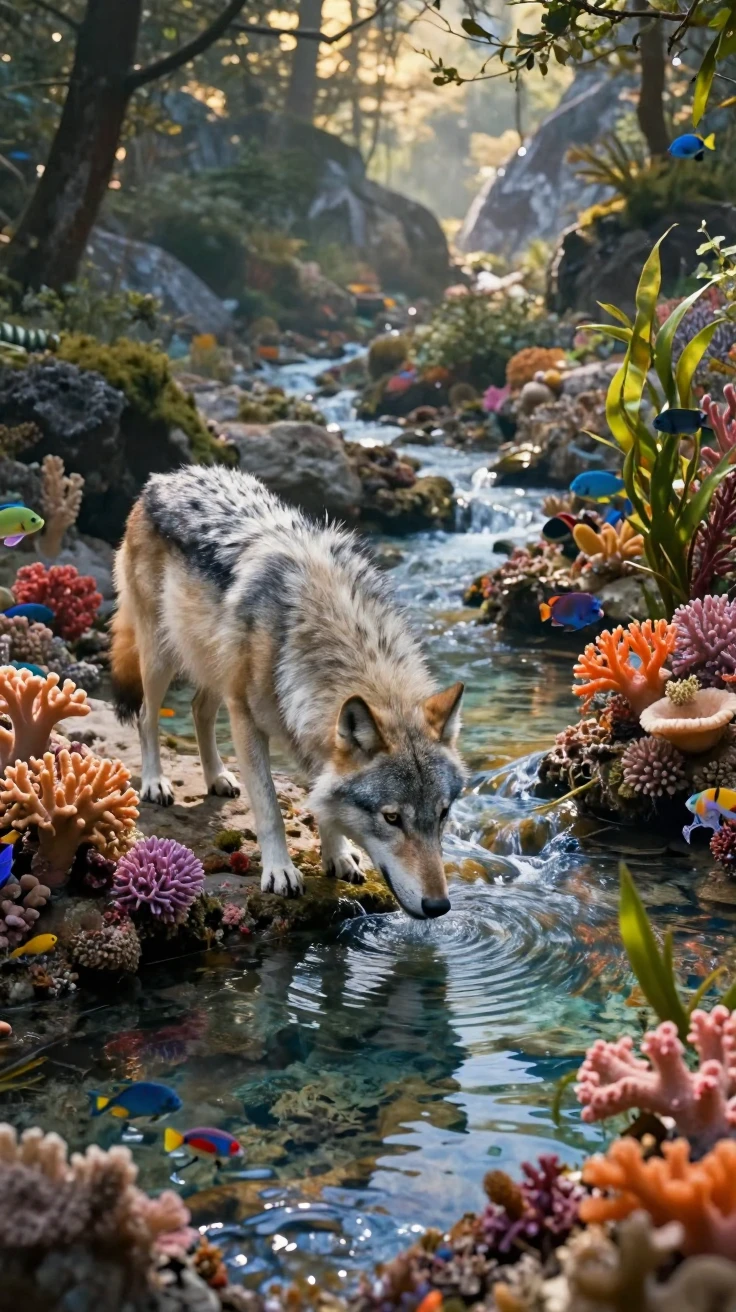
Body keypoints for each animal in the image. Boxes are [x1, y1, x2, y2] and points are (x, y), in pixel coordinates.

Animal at [110, 466, 465, 919]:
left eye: (442, 814)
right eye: (391, 819)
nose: (438, 906)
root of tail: (164, 478)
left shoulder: (310, 729)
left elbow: (321, 797)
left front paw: (338, 855)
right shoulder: (247, 718)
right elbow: (269, 807)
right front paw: (280, 871)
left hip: (214, 666)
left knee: (199, 709)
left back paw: (217, 777)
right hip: (161, 657)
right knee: (146, 717)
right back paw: (156, 782)